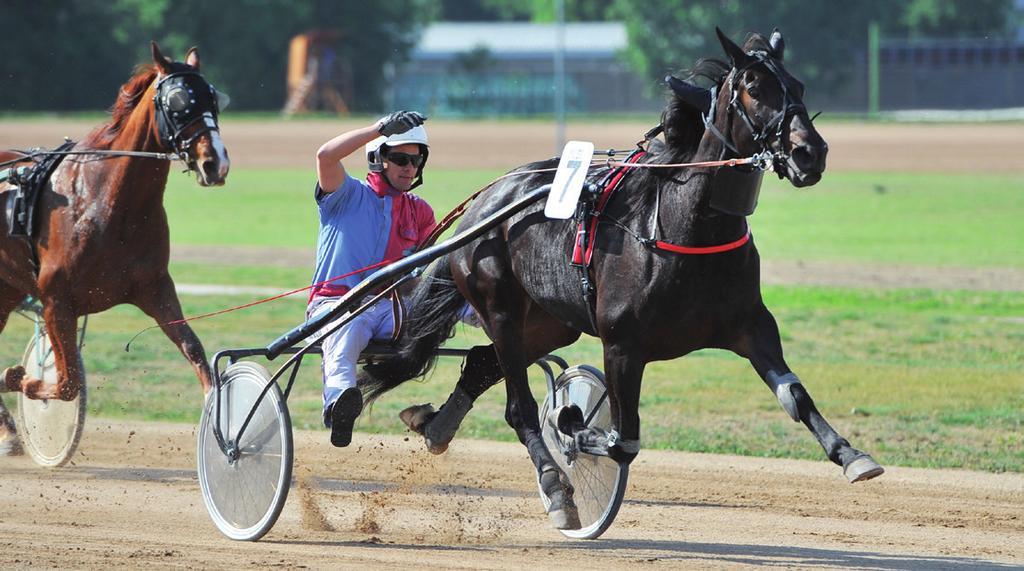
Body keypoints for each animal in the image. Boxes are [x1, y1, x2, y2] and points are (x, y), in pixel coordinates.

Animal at [0, 42, 228, 448]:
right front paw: (18, 377)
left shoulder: (156, 289)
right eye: (178, 102)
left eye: (213, 98)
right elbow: (67, 382)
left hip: (6, 290)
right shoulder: (56, 300)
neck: (106, 200)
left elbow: (195, 351)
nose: (215, 162)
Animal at [358, 29, 880, 532]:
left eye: (798, 86)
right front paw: (574, 426)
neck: (684, 225)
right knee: (518, 406)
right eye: (754, 88)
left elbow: (795, 395)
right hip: (499, 307)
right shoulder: (623, 345)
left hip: (551, 321)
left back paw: (435, 426)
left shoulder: (750, 325)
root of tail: (487, 201)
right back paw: (555, 488)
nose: (810, 153)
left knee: (483, 363)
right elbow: (621, 439)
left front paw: (852, 455)